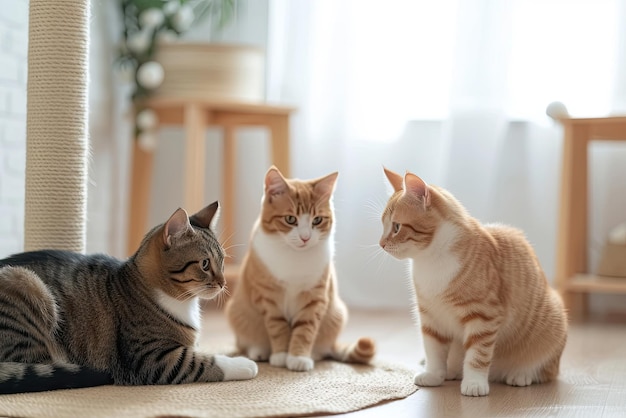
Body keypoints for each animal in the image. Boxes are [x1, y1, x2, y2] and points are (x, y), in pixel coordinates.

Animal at [0, 201, 256, 394]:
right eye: (204, 264)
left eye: (222, 262)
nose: (223, 283)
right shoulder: (150, 358)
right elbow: (202, 361)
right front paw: (245, 363)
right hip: (26, 283)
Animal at [224, 167, 372, 372]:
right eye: (290, 219)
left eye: (317, 220)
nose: (305, 237)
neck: (294, 257)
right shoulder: (268, 297)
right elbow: (277, 327)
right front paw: (281, 355)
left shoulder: (315, 297)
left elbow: (305, 329)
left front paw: (298, 357)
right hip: (236, 312)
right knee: (245, 343)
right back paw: (258, 350)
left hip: (337, 314)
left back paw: (314, 353)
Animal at [376, 167, 564, 396]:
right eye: (383, 226)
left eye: (396, 227)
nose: (381, 243)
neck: (430, 261)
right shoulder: (430, 317)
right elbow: (433, 350)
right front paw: (433, 374)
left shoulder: (484, 315)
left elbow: (478, 354)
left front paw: (474, 383)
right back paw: (452, 371)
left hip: (553, 324)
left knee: (547, 370)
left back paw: (521, 374)